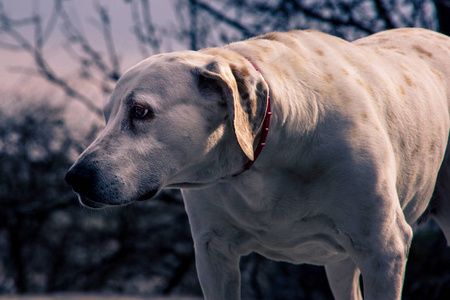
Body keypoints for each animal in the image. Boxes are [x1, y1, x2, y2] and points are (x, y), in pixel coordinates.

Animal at [66, 27, 450, 298]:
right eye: (107, 116)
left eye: (141, 111)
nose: (74, 178)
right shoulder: (213, 255)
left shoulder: (383, 250)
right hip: (341, 263)